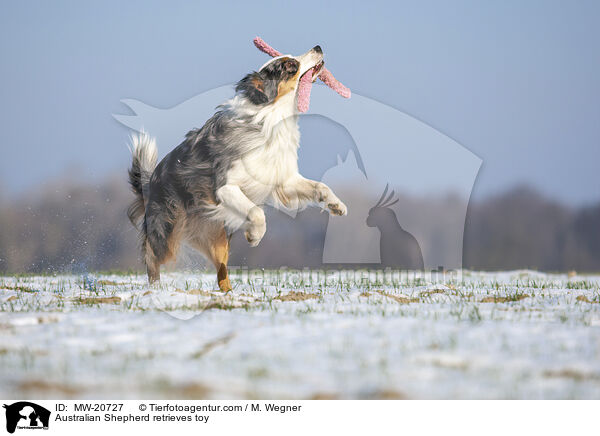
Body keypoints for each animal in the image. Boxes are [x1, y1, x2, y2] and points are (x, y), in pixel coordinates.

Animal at [129, 44, 350, 292]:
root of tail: (150, 183)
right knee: (153, 257)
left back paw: (228, 294)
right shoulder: (224, 187)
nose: (318, 47)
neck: (270, 116)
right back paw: (154, 290)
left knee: (221, 268)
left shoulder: (283, 179)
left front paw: (336, 205)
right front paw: (254, 236)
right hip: (167, 227)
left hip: (217, 235)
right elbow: (256, 212)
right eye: (290, 65)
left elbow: (320, 187)